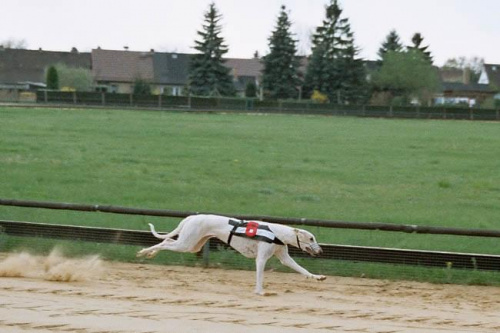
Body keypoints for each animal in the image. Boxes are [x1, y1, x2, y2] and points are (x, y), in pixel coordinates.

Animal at [137, 214, 326, 294]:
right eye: (311, 238)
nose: (320, 250)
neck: (277, 233)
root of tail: (191, 217)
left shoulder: (284, 257)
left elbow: (301, 269)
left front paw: (317, 277)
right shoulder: (261, 258)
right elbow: (260, 274)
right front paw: (260, 291)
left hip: (194, 245)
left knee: (168, 241)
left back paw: (149, 253)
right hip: (187, 243)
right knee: (166, 242)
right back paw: (145, 252)